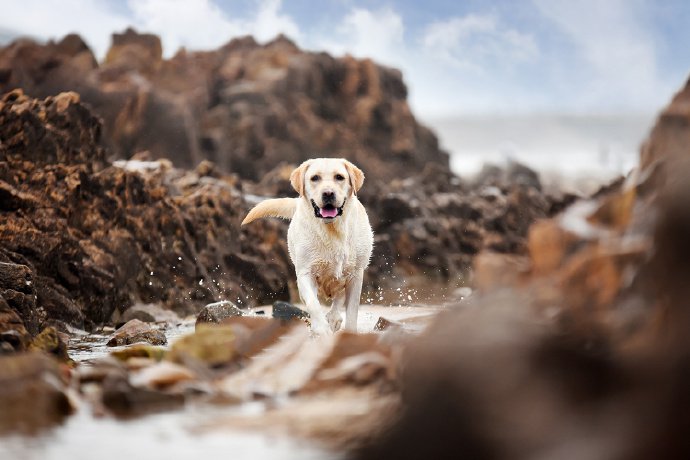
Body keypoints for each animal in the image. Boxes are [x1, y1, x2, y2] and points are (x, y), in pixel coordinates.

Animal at [241, 158, 370, 334]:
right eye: (315, 178)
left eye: (339, 177)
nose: (328, 193)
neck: (331, 230)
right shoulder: (305, 273)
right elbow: (313, 305)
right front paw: (321, 330)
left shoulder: (356, 275)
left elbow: (352, 311)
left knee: (338, 298)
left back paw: (334, 318)